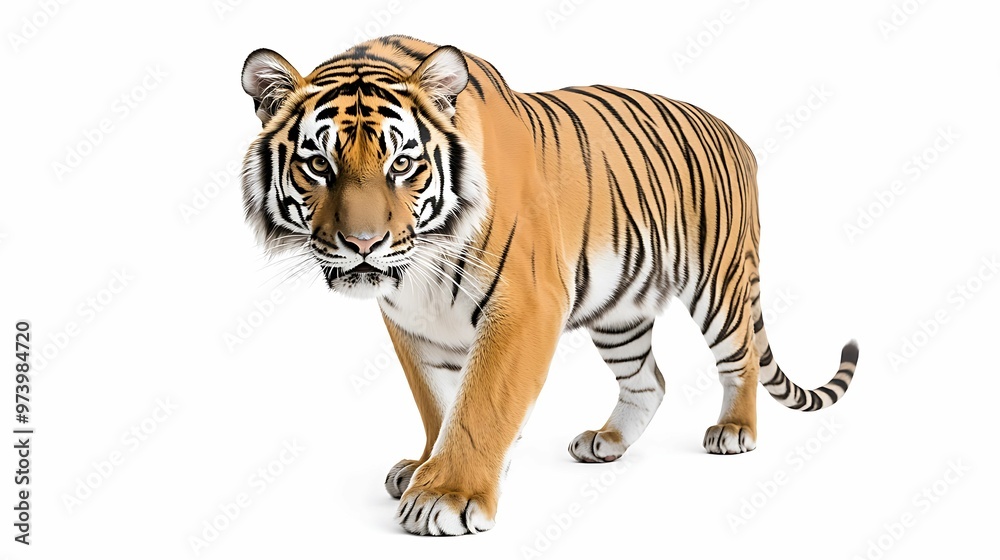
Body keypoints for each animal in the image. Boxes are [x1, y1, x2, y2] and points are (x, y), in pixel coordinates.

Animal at [239, 34, 859, 536]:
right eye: (319, 165)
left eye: (402, 165)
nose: (363, 243)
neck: (419, 272)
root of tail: (736, 135)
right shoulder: (411, 325)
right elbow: (438, 403)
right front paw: (424, 467)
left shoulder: (524, 305)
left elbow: (482, 403)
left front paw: (446, 495)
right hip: (621, 312)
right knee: (649, 381)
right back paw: (607, 443)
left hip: (720, 283)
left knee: (742, 359)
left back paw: (733, 430)